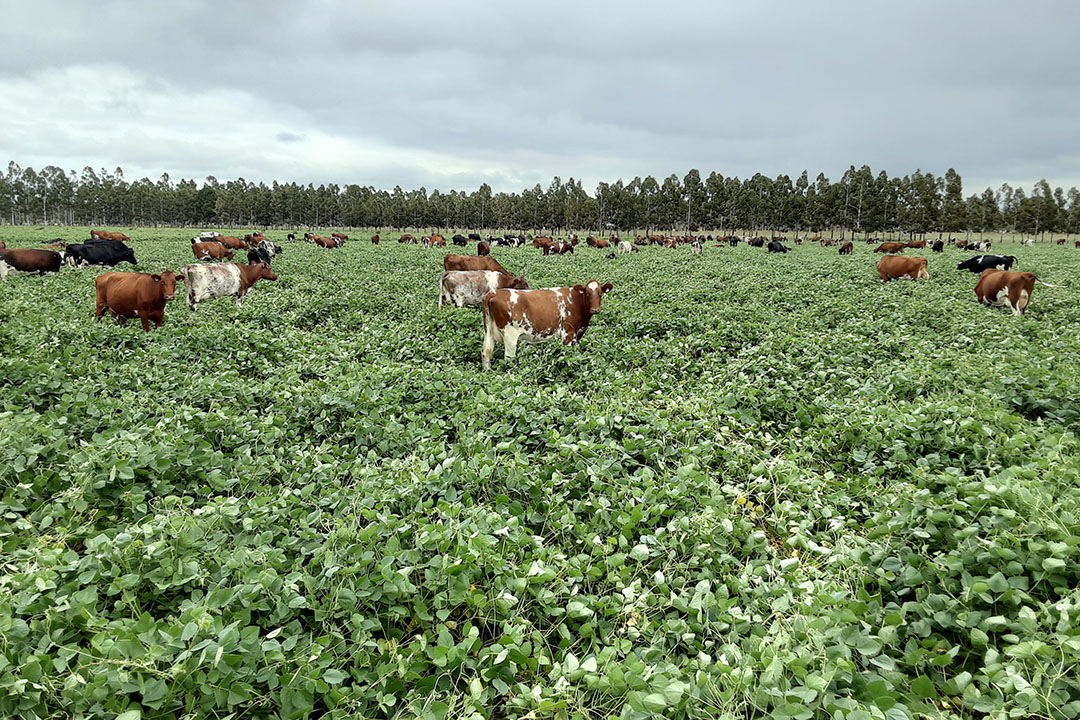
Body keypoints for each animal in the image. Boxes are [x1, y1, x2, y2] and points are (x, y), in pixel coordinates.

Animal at [483, 280, 617, 371]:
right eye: (587, 293)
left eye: (600, 293)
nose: (595, 309)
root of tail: (494, 293)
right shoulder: (568, 333)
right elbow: (566, 355)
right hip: (510, 336)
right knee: (508, 358)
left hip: (488, 331)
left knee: (486, 352)